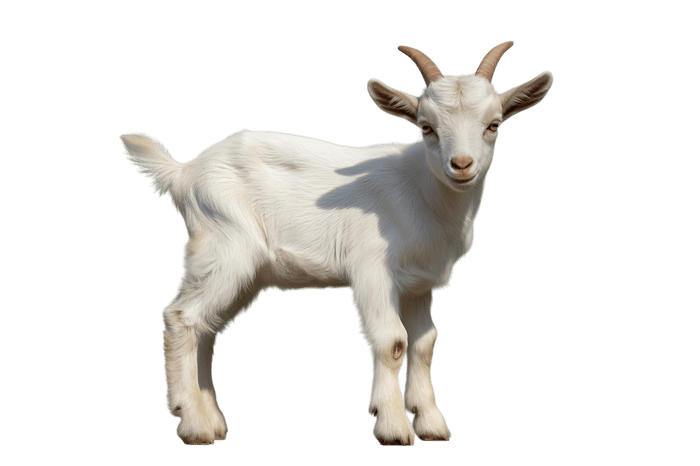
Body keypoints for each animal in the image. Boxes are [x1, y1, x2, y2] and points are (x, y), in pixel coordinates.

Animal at [120, 42, 553, 446]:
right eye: (426, 126)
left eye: (494, 124)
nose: (461, 165)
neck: (422, 191)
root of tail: (183, 173)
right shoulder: (372, 270)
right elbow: (392, 341)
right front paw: (392, 426)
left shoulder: (419, 283)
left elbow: (424, 345)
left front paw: (431, 424)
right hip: (226, 244)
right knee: (181, 317)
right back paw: (192, 423)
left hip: (247, 270)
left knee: (207, 329)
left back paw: (211, 421)